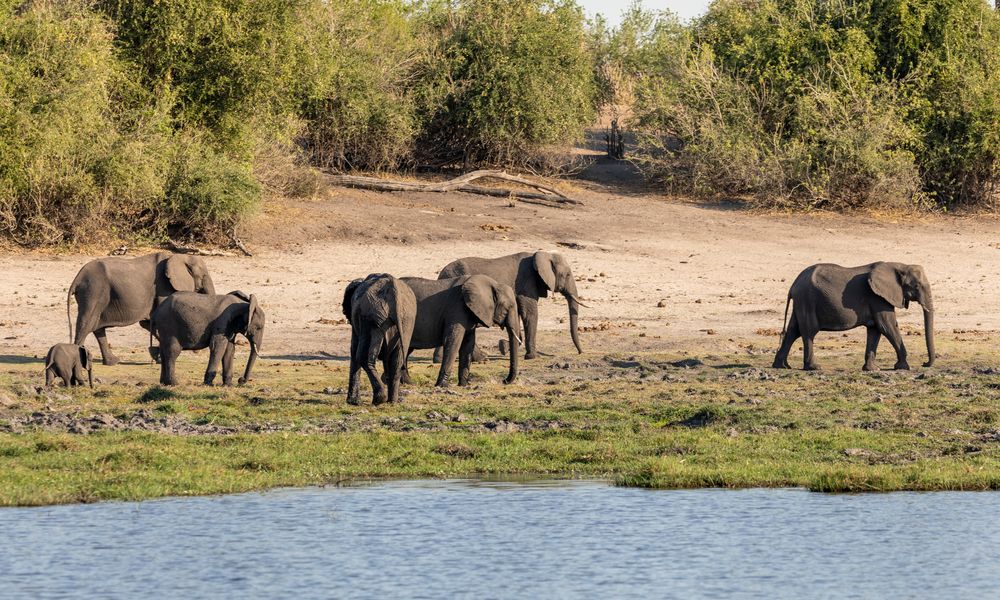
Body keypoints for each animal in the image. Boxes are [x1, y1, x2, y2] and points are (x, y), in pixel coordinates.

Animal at [67, 252, 216, 366]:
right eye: (204, 276)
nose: (196, 351)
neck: (180, 257)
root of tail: (77, 277)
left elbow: (148, 323)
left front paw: (158, 358)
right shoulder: (164, 286)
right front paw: (160, 359)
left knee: (97, 327)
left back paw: (112, 362)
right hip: (93, 291)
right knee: (86, 324)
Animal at [342, 274, 416, 406]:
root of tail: (393, 290)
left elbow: (354, 350)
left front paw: (353, 402)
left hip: (373, 318)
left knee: (363, 357)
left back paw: (379, 400)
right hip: (406, 321)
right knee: (397, 362)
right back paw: (392, 402)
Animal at [438, 250, 584, 358]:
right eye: (567, 274)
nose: (580, 352)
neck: (543, 254)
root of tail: (440, 275)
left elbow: (519, 314)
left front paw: (504, 347)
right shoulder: (527, 283)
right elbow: (529, 313)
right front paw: (532, 356)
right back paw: (480, 358)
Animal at [768, 262, 932, 370]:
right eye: (916, 286)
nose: (924, 363)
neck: (899, 265)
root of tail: (793, 286)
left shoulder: (878, 298)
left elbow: (875, 330)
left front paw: (872, 369)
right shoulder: (878, 298)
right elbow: (887, 326)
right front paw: (903, 367)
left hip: (802, 301)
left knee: (793, 331)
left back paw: (782, 366)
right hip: (807, 300)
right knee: (808, 332)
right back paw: (814, 367)